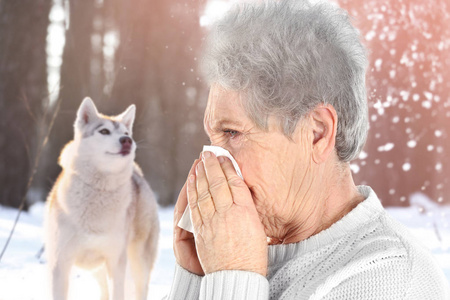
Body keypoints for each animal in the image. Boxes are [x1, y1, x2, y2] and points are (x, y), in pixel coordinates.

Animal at [44, 98, 160, 300]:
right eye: (104, 131)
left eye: (126, 133)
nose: (127, 141)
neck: (99, 190)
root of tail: (138, 174)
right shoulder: (60, 263)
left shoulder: (116, 262)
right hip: (97, 270)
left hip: (138, 262)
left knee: (140, 288)